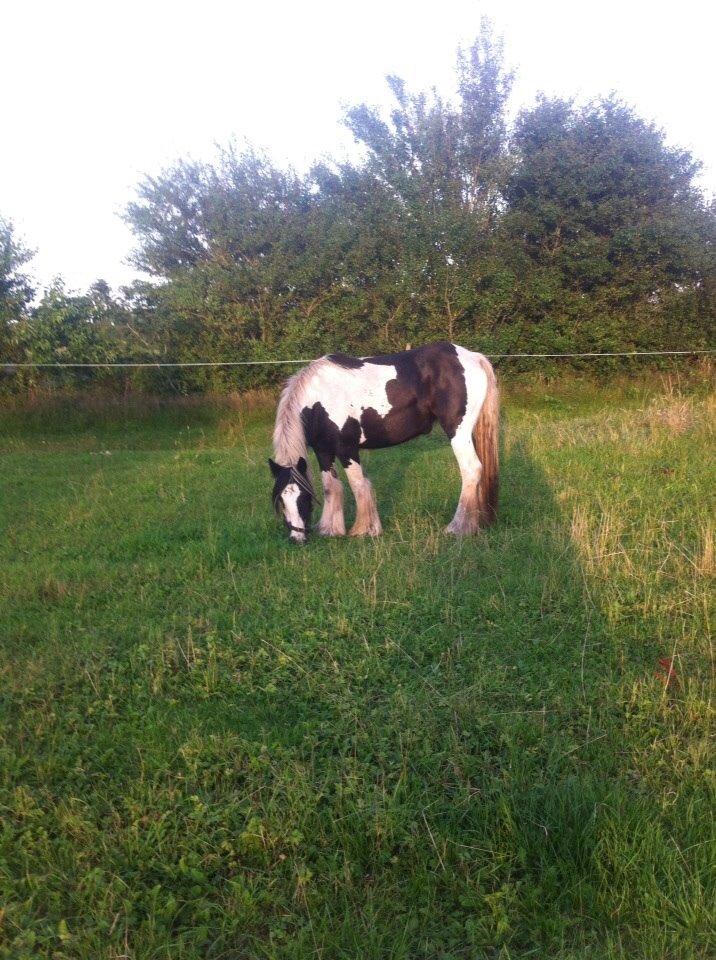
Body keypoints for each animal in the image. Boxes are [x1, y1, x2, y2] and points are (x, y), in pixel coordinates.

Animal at [268, 342, 498, 544]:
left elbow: (359, 485)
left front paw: (364, 530)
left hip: (457, 432)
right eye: (281, 502)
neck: (318, 400)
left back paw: (458, 528)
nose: (297, 539)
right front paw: (330, 529)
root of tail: (474, 357)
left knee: (471, 470)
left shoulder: (347, 449)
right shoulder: (322, 451)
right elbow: (330, 487)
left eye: (303, 499)